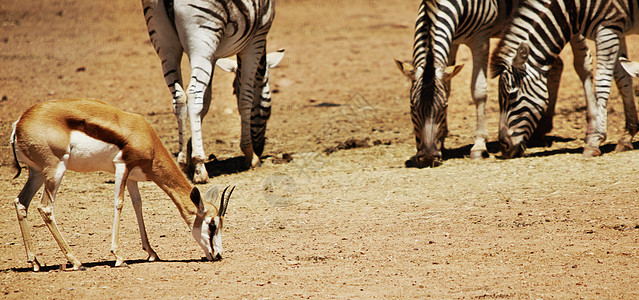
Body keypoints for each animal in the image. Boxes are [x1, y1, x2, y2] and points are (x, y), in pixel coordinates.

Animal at [142, 0, 276, 183]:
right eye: (268, 112)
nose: (260, 148)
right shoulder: (257, 38)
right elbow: (246, 98)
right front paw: (250, 154)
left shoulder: (213, 56)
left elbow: (206, 102)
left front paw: (190, 149)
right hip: (203, 37)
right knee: (193, 95)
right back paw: (200, 167)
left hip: (165, 44)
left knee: (179, 99)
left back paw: (182, 164)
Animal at [396, 0, 596, 169]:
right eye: (412, 107)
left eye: (443, 107)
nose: (428, 157)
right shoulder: (451, 41)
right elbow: (447, 88)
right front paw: (442, 142)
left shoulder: (481, 37)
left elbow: (478, 90)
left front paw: (478, 146)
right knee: (555, 64)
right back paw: (542, 129)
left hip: (570, 18)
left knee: (583, 65)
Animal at [490, 0, 639, 158]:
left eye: (512, 95)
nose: (504, 148)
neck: (572, 7)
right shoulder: (617, 30)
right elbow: (623, 78)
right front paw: (627, 135)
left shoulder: (608, 28)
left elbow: (602, 82)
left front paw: (594, 139)